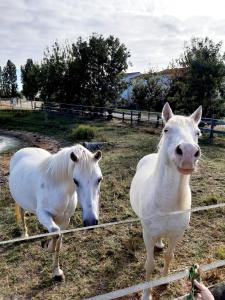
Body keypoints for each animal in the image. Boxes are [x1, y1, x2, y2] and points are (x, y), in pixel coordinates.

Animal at [8, 144, 102, 280]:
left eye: (99, 179)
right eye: (75, 180)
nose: (91, 222)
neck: (57, 188)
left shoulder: (65, 220)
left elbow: (58, 240)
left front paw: (57, 272)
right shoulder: (43, 214)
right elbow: (55, 232)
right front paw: (47, 247)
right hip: (20, 201)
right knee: (21, 213)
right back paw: (25, 235)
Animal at [130, 103, 202, 300]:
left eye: (198, 133)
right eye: (166, 129)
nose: (188, 152)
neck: (168, 205)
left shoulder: (177, 234)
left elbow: (169, 256)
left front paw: (164, 282)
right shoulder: (148, 235)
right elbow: (149, 264)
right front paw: (146, 294)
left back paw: (160, 243)